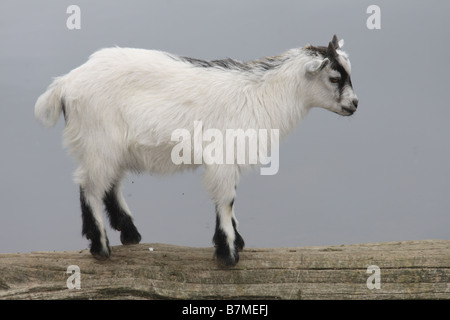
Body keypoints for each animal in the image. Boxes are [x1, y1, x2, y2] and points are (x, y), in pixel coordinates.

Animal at [34, 34, 358, 264]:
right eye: (334, 78)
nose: (354, 104)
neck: (261, 93)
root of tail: (65, 83)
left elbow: (230, 197)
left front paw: (236, 240)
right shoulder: (224, 154)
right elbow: (226, 199)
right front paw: (228, 253)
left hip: (111, 148)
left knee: (109, 185)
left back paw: (129, 233)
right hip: (98, 141)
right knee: (89, 187)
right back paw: (101, 247)